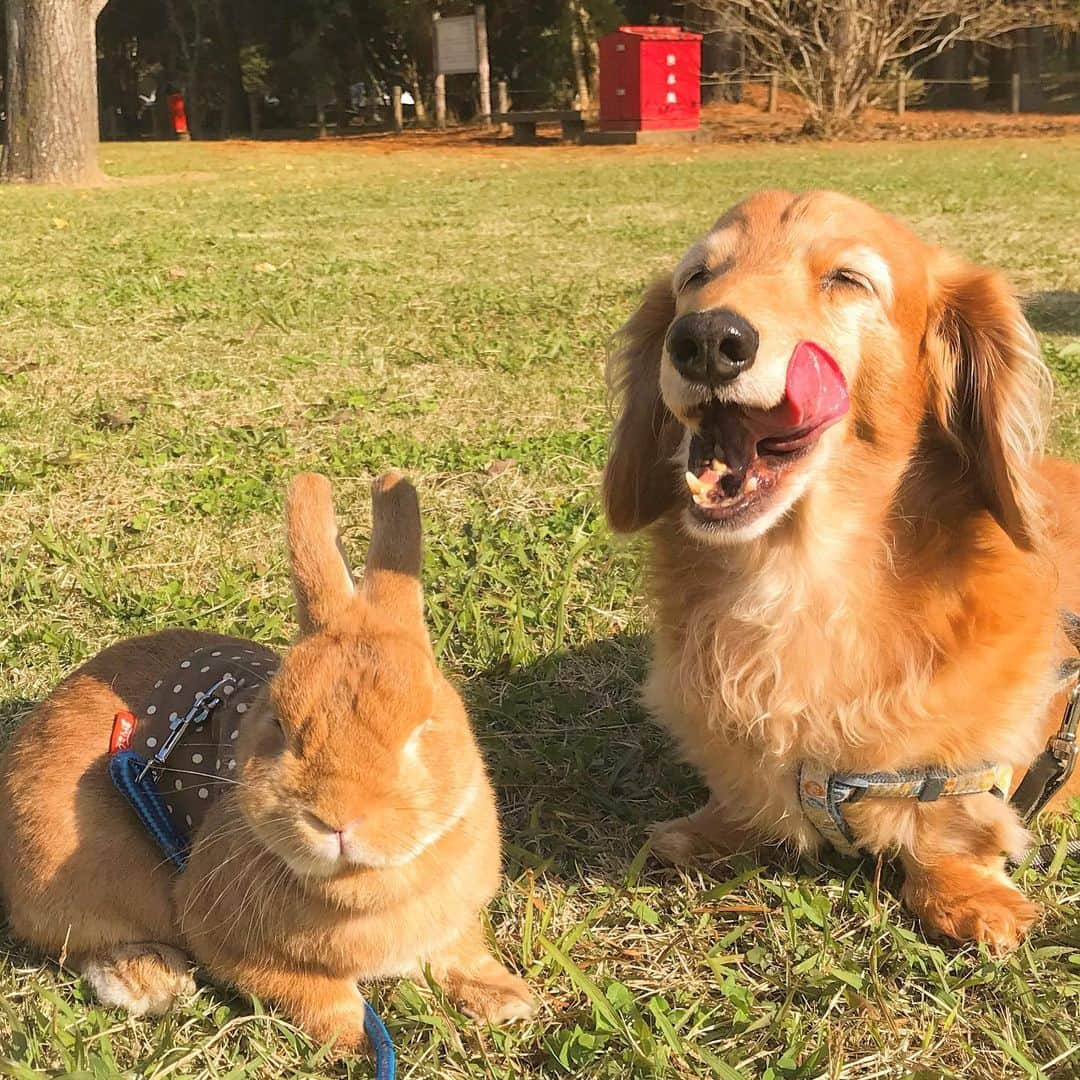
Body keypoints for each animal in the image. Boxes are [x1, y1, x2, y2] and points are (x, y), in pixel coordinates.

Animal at [0, 470, 533, 1045]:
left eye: (422, 726)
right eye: (278, 723)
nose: (337, 818)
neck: (363, 883)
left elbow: (460, 955)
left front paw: (507, 1000)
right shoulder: (224, 938)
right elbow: (310, 990)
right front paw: (351, 1038)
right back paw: (149, 979)